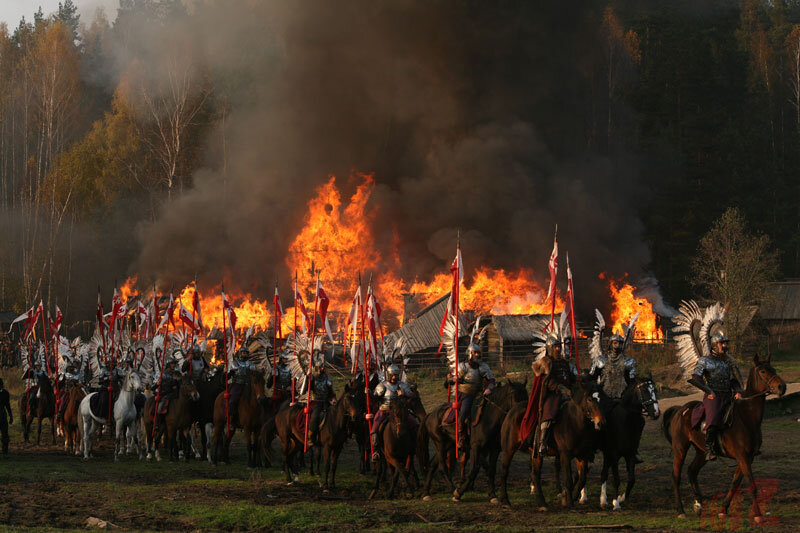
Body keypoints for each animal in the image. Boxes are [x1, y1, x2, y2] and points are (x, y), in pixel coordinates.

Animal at [664, 352, 788, 520]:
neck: (746, 417)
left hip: (702, 452)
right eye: (763, 371)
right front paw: (758, 515)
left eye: (773, 369)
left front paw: (723, 509)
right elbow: (751, 484)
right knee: (676, 476)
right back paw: (681, 511)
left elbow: (735, 483)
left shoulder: (748, 458)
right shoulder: (742, 457)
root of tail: (680, 410)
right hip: (680, 449)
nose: (782, 387)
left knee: (692, 471)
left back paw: (698, 504)